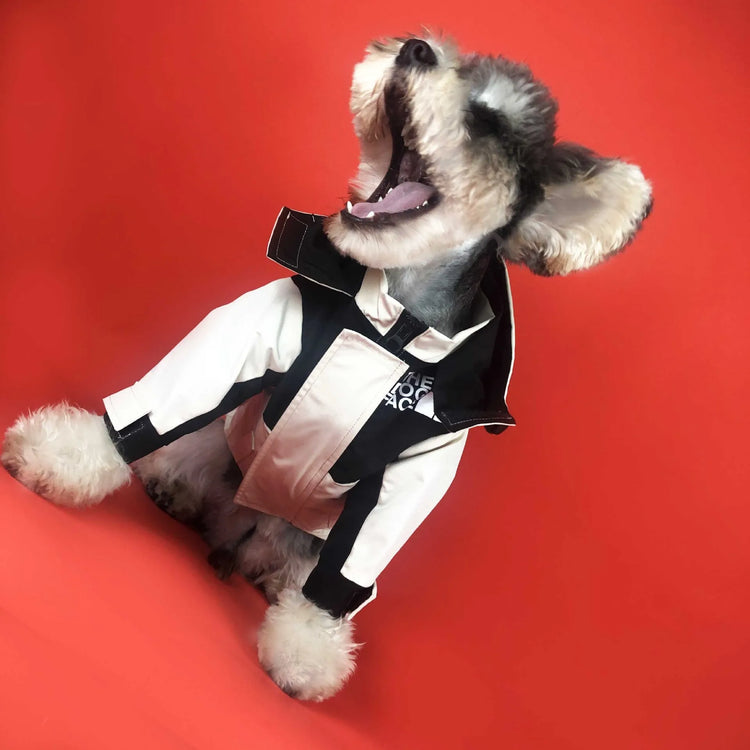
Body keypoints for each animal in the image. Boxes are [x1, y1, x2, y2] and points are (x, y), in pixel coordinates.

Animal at [0, 35, 652, 704]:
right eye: (449, 58)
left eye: (489, 121)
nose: (415, 49)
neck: (393, 330)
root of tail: (234, 527)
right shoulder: (242, 342)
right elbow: (144, 417)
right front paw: (59, 456)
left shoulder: (410, 478)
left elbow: (343, 576)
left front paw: (307, 648)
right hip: (215, 443)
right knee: (182, 453)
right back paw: (175, 492)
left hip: (306, 535)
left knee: (291, 561)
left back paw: (268, 575)